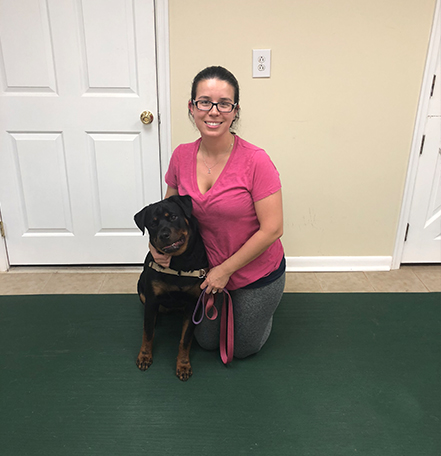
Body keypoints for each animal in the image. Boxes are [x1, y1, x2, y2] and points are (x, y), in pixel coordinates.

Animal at [134, 196, 208, 382]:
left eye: (173, 217)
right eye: (153, 224)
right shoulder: (152, 298)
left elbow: (185, 339)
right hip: (141, 288)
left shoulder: (193, 304)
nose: (163, 234)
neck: (178, 263)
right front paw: (144, 356)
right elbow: (147, 332)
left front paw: (183, 365)